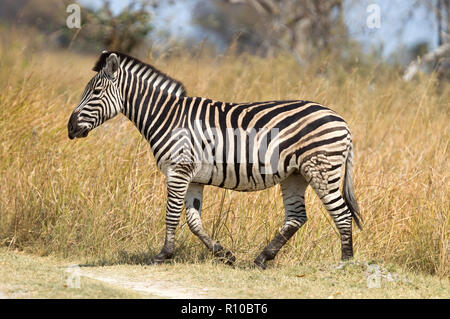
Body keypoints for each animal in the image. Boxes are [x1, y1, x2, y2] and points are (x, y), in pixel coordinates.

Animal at [67, 50, 362, 270]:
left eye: (95, 92)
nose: (70, 128)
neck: (167, 116)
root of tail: (342, 120)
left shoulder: (178, 170)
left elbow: (172, 214)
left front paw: (163, 255)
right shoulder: (193, 176)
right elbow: (193, 221)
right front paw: (224, 255)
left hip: (321, 169)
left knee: (342, 213)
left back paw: (345, 262)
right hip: (295, 174)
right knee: (297, 217)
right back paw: (262, 258)